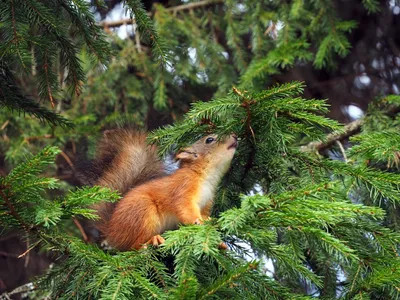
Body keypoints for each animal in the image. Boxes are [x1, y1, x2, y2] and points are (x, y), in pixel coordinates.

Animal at [86, 127, 238, 250]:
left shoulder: (206, 203)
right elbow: (184, 208)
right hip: (143, 212)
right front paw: (197, 221)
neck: (206, 177)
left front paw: (217, 238)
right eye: (209, 139)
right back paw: (152, 240)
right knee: (132, 247)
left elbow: (205, 216)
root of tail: (111, 230)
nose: (235, 135)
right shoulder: (183, 188)